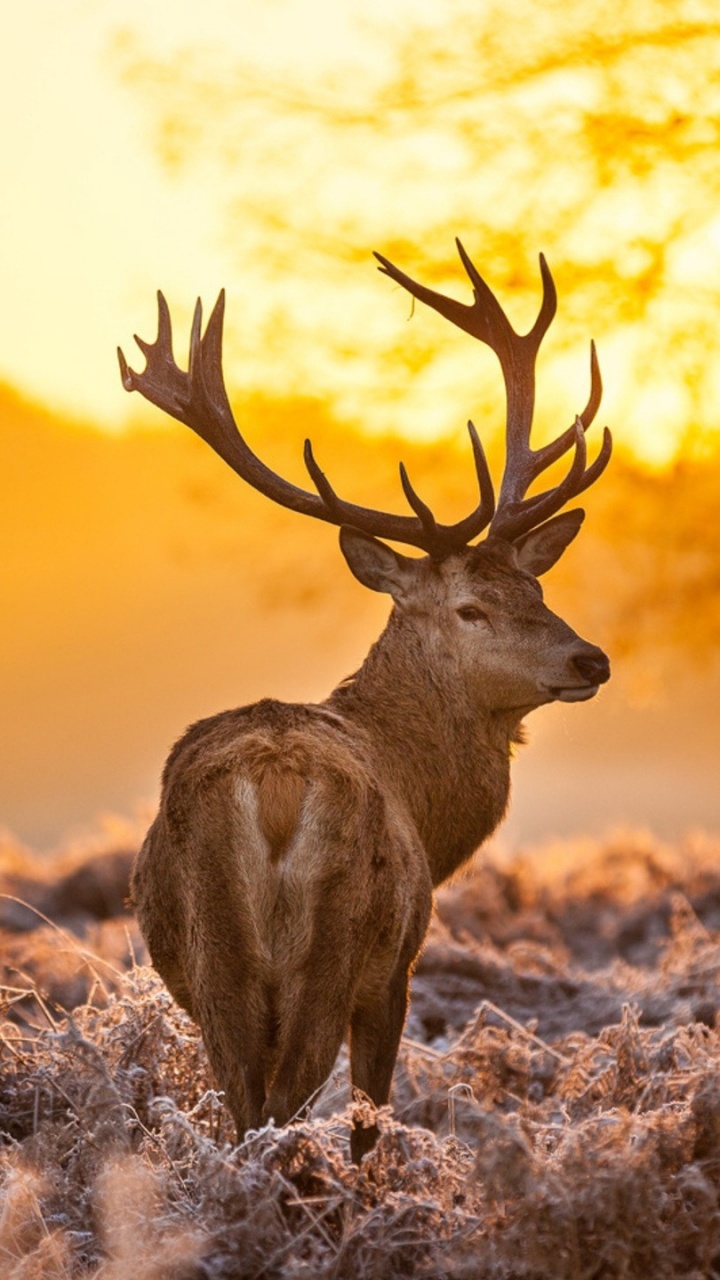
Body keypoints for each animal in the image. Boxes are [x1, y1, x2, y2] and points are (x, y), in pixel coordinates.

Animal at [118, 239, 611, 1161]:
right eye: (471, 607)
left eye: (536, 586)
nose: (590, 658)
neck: (427, 802)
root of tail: (274, 784)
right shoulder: (398, 968)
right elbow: (369, 1121)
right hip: (336, 946)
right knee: (286, 1108)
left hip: (213, 960)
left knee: (245, 1108)